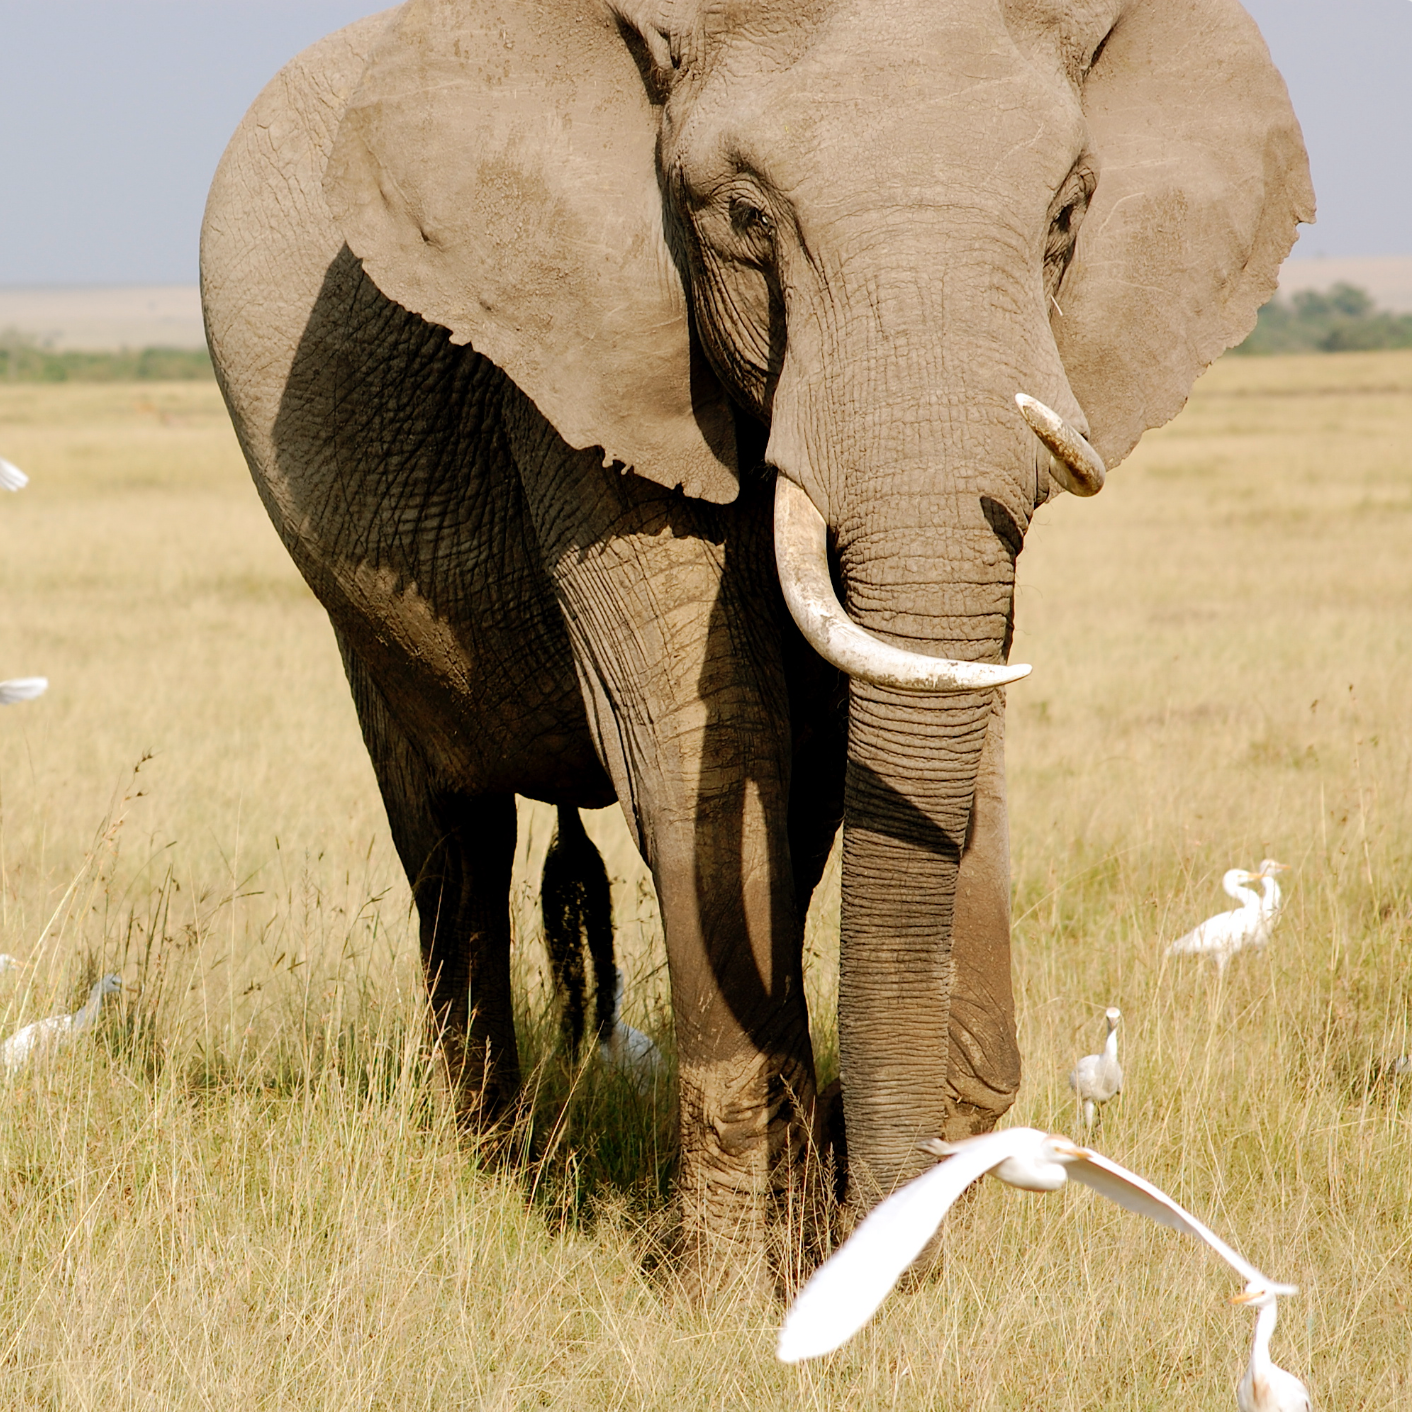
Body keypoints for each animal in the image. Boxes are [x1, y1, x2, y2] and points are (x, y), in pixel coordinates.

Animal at [200, 0, 1311, 1292]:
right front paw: (730, 1291)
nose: (887, 1246)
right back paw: (499, 1165)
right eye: (742, 218)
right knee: (452, 845)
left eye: (1066, 216)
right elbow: (703, 737)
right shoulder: (585, 351)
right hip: (353, 603)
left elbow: (937, 710)